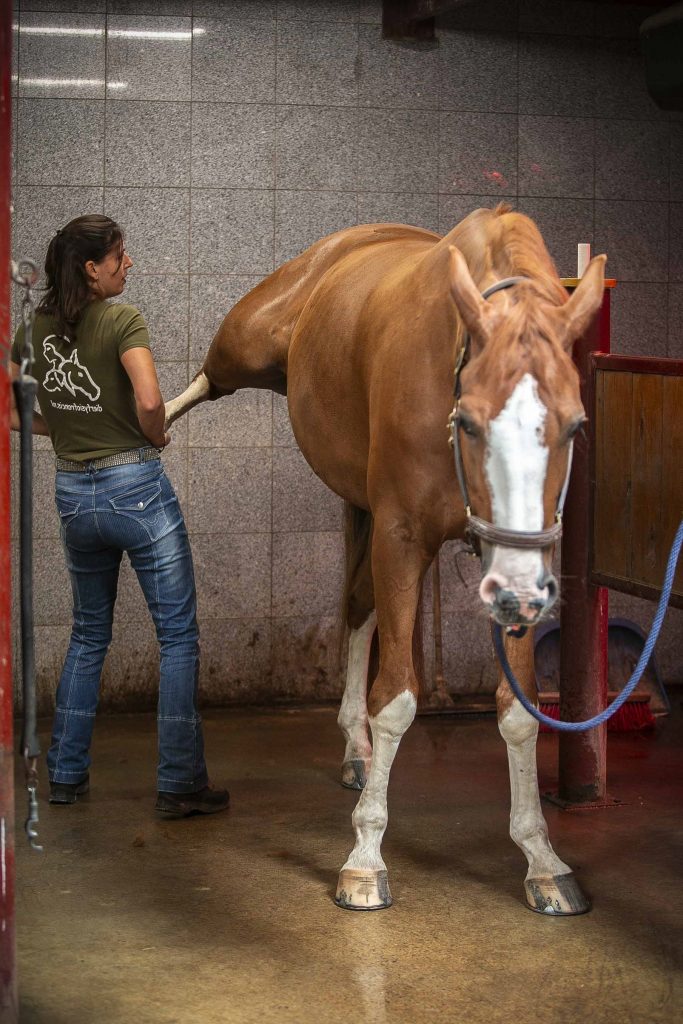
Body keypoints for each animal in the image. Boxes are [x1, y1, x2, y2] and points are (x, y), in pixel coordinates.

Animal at [165, 205, 606, 916]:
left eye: (575, 425)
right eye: (470, 421)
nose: (518, 594)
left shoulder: (514, 559)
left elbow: (519, 713)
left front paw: (542, 860)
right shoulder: (401, 538)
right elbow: (396, 697)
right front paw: (365, 861)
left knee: (356, 610)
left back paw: (356, 750)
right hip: (248, 343)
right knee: (210, 376)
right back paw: (151, 421)